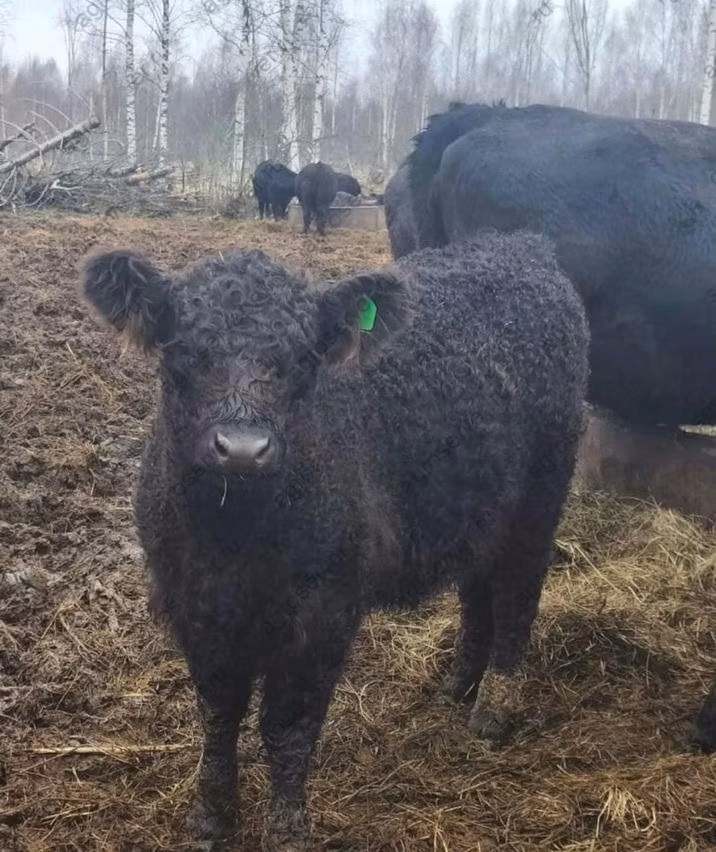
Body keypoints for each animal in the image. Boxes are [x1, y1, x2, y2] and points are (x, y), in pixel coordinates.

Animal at [81, 230, 588, 850]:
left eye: (303, 359)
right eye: (186, 352)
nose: (243, 449)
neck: (234, 538)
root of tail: (518, 246)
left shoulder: (324, 610)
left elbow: (287, 726)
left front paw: (287, 828)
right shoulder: (195, 604)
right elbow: (218, 713)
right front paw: (209, 817)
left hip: (542, 493)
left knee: (518, 593)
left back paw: (493, 708)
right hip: (480, 510)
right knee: (479, 593)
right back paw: (457, 685)